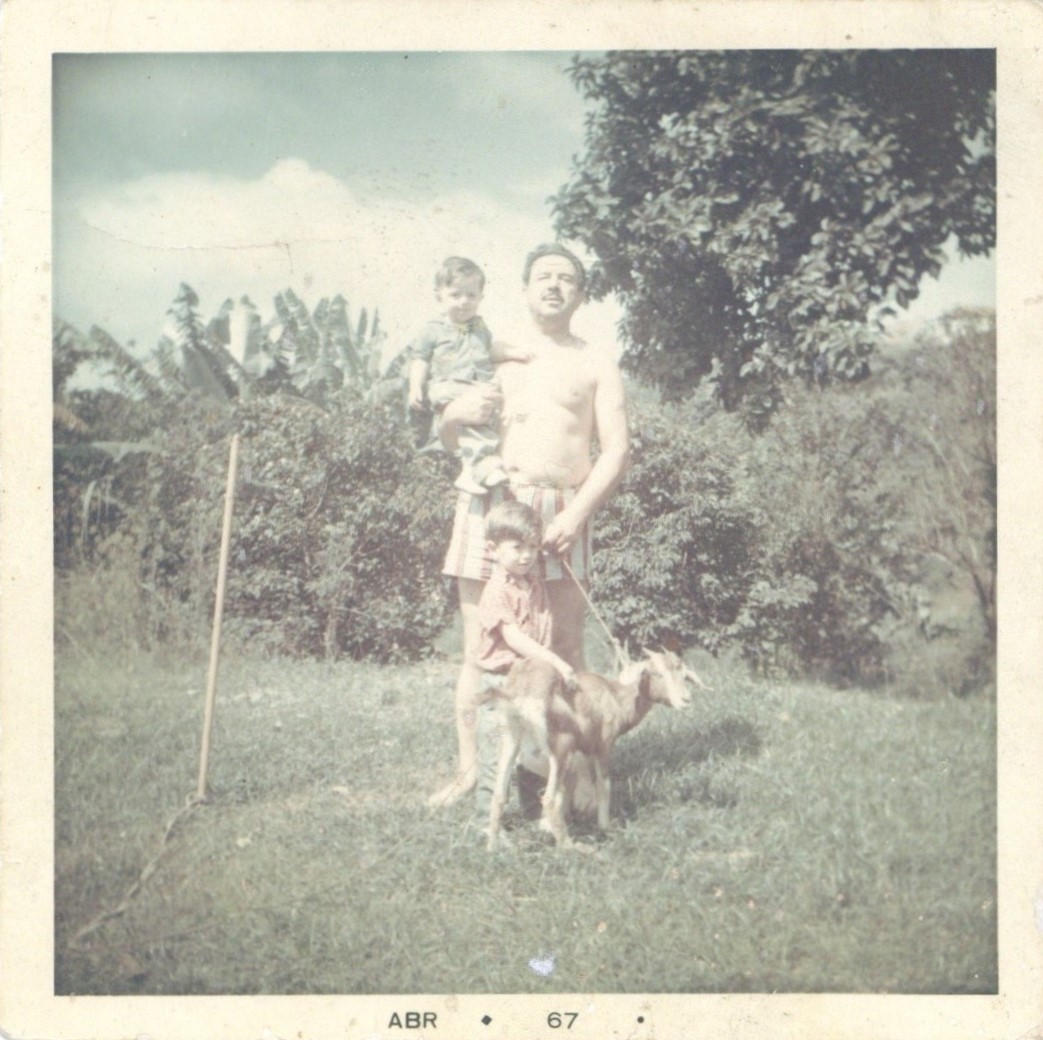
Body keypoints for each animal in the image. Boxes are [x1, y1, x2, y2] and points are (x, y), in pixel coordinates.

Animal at [488, 655, 700, 847]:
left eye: (683, 675)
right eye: (656, 673)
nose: (686, 700)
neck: (614, 696)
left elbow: (569, 790)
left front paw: (547, 827)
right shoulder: (603, 746)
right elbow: (603, 786)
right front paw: (606, 827)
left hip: (510, 743)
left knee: (499, 794)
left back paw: (493, 847)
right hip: (559, 750)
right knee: (548, 799)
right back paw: (571, 847)